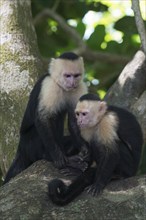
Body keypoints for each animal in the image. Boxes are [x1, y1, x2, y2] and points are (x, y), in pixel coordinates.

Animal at [3, 51, 88, 184]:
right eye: (67, 76)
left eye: (76, 75)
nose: (72, 83)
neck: (61, 86)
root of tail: (20, 148)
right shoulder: (49, 86)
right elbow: (43, 118)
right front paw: (57, 157)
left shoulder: (79, 88)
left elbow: (75, 120)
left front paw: (84, 149)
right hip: (29, 144)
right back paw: (60, 159)